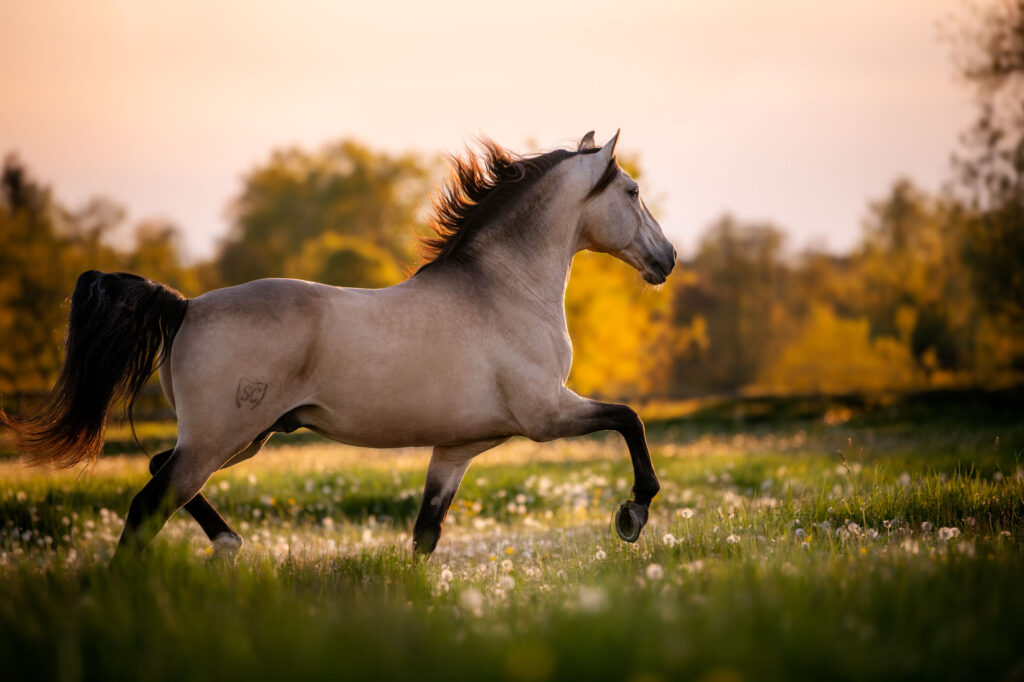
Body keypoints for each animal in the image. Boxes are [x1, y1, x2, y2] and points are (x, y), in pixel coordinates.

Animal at [3, 130, 676, 562]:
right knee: (149, 503)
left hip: (245, 437)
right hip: (221, 438)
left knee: (158, 471)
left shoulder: (457, 449)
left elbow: (425, 535)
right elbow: (630, 420)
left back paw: (228, 545)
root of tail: (186, 306)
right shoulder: (546, 414)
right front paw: (632, 516)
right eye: (633, 192)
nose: (667, 259)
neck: (502, 289)